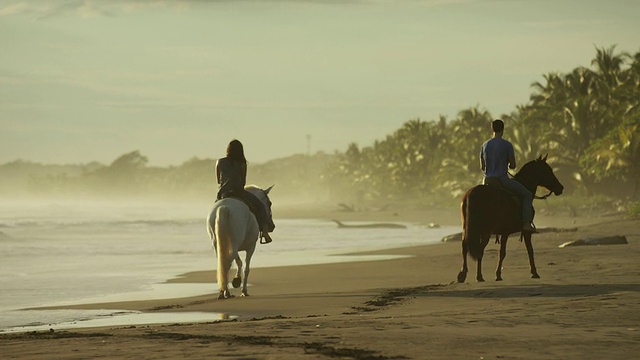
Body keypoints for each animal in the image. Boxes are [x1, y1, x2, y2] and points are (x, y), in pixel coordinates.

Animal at [456, 153, 564, 282]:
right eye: (548, 170)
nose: (560, 188)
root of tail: (471, 194)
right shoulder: (519, 231)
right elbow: (527, 250)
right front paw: (533, 272)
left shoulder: (504, 232)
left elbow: (503, 252)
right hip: (486, 231)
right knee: (479, 250)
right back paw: (479, 276)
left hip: (468, 229)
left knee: (465, 246)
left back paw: (463, 274)